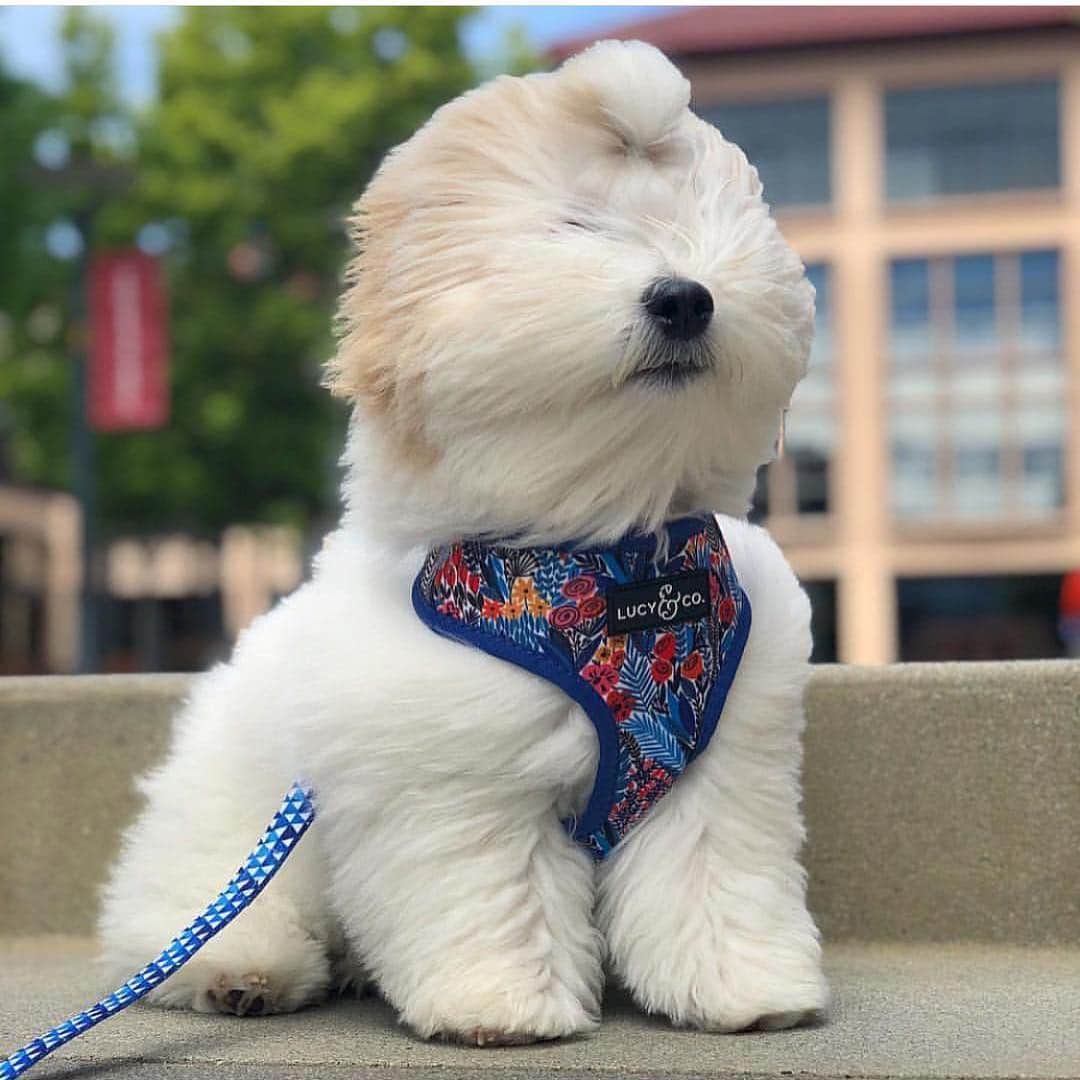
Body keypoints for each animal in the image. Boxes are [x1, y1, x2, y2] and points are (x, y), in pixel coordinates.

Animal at [99, 44, 825, 1045]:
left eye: (694, 229)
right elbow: (493, 887)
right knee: (187, 912)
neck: (596, 557)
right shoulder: (455, 782)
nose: (685, 296)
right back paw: (243, 970)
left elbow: (713, 874)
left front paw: (744, 988)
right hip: (230, 831)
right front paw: (503, 1003)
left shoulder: (714, 761)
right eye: (574, 226)